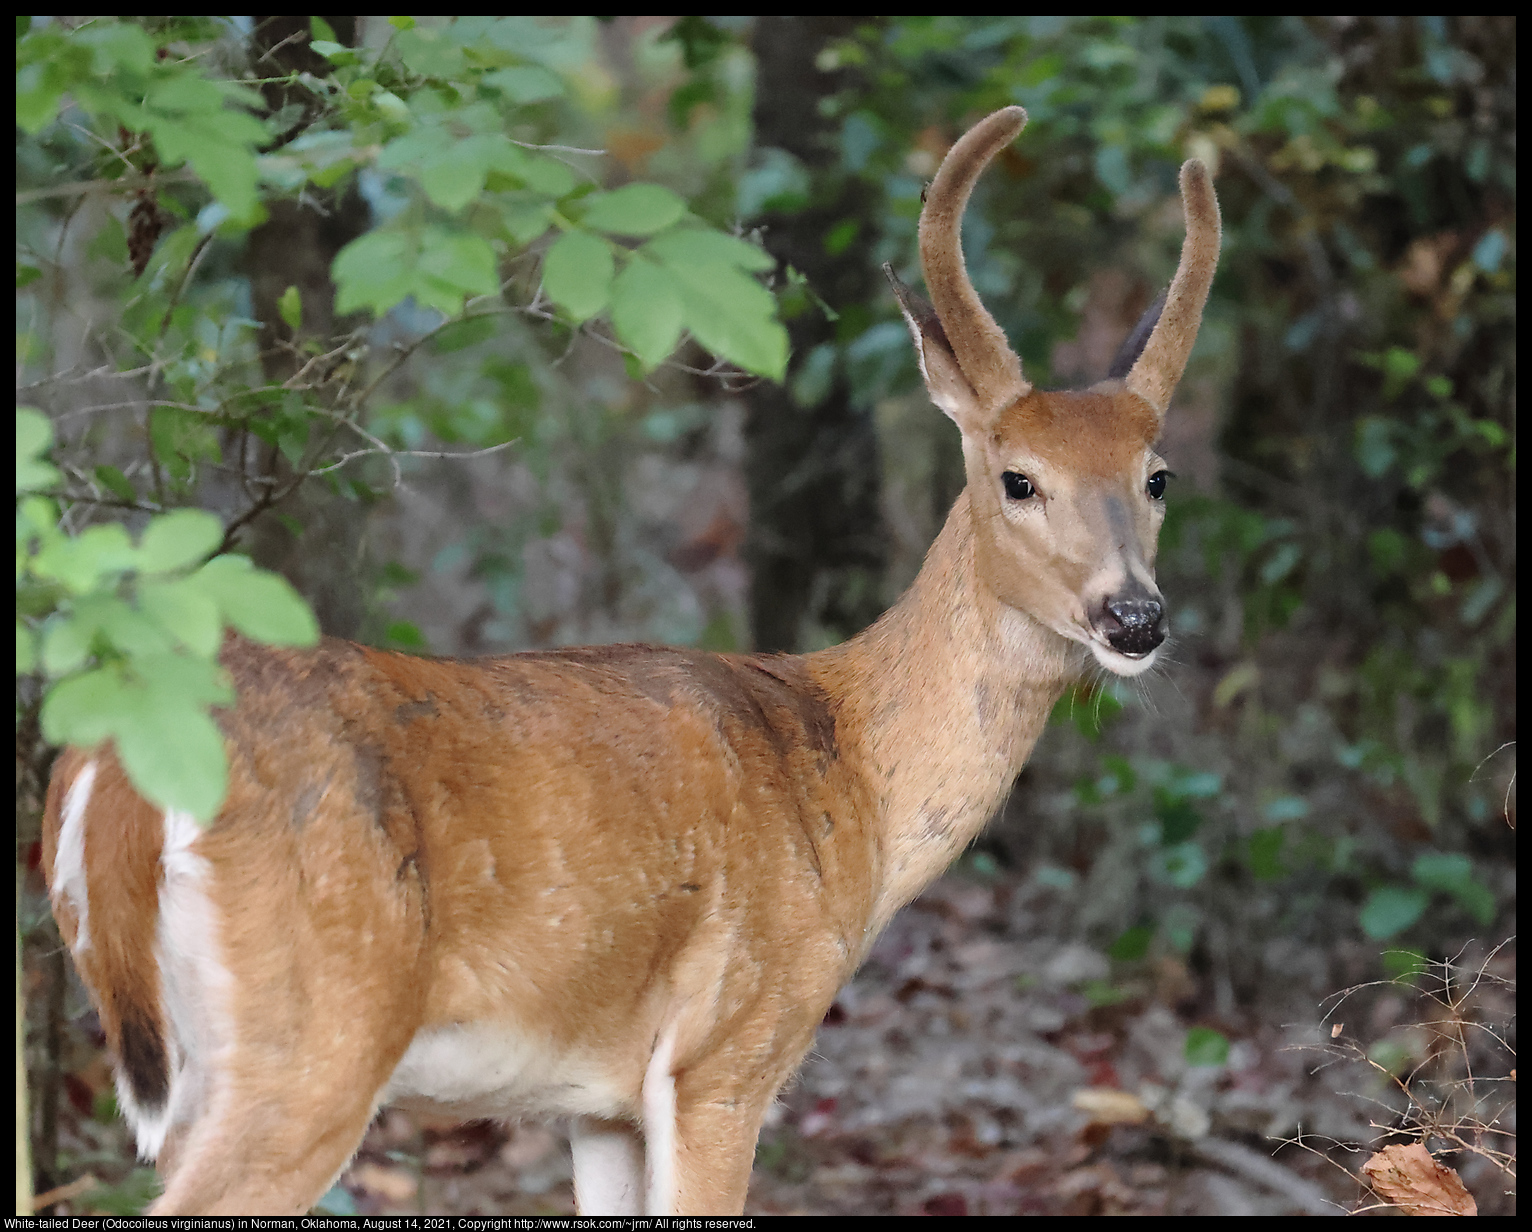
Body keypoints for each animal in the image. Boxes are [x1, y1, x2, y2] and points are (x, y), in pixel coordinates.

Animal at [41, 108, 1219, 1219]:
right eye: (1018, 479)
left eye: (1157, 477)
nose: (1133, 616)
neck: (849, 779)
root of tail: (110, 770)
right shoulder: (727, 1052)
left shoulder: (597, 1103)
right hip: (316, 1035)